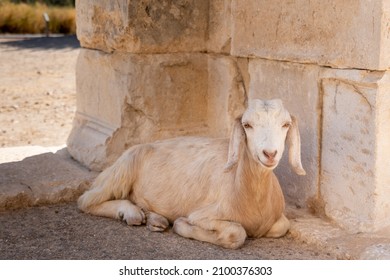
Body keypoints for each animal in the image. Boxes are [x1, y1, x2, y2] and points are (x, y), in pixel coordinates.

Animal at [77, 99, 306, 249]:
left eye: (285, 125)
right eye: (247, 125)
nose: (270, 153)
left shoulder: (278, 221)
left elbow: (282, 226)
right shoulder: (203, 215)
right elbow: (236, 233)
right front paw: (181, 224)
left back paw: (154, 219)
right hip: (123, 167)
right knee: (87, 200)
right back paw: (131, 213)